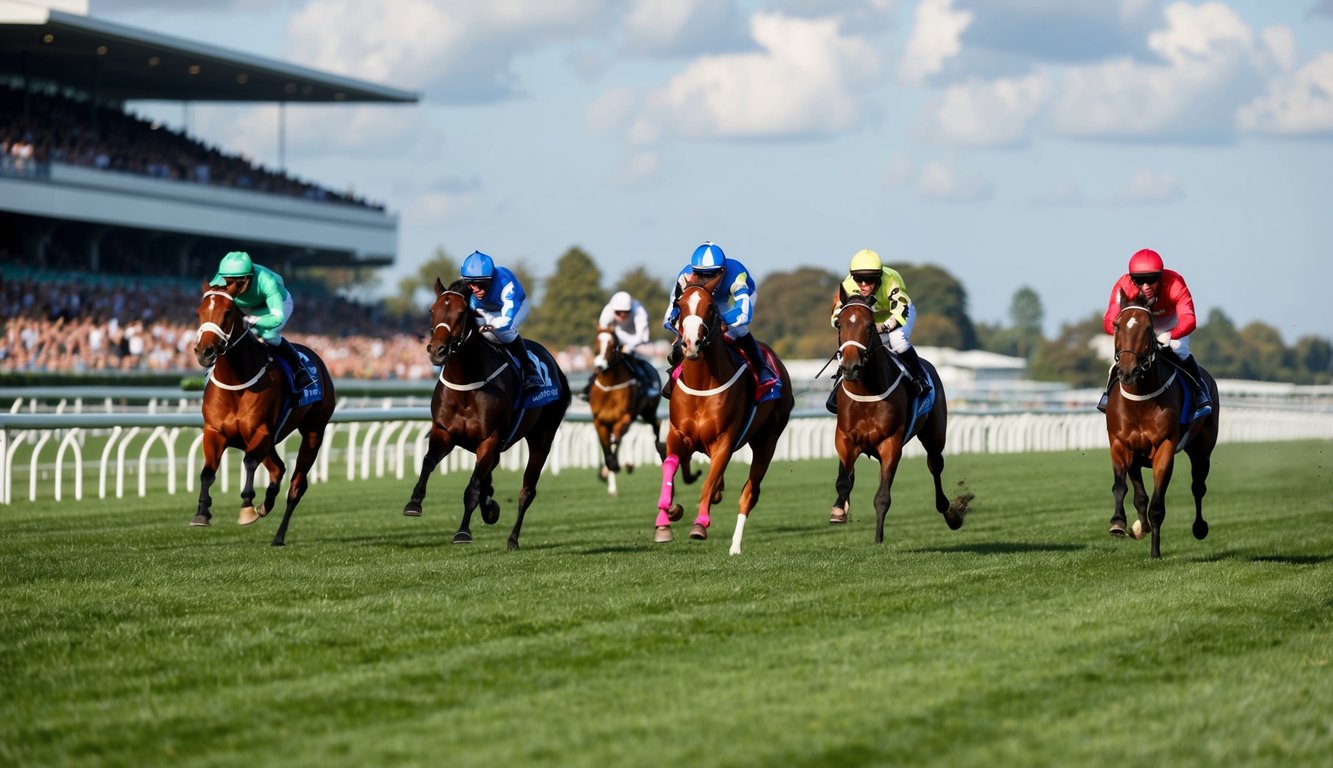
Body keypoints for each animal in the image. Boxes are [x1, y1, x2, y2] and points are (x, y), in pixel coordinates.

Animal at [190, 286, 335, 546]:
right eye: (199, 312)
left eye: (227, 313)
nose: (204, 352)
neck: (235, 382)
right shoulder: (214, 432)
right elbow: (207, 472)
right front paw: (202, 512)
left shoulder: (261, 431)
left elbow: (249, 462)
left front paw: (246, 507)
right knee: (278, 469)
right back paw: (265, 505)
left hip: (314, 431)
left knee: (297, 485)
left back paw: (278, 535)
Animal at [397, 278, 570, 549]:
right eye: (432, 310)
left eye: (461, 313)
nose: (437, 351)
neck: (466, 384)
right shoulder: (444, 432)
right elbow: (428, 462)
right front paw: (414, 502)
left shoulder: (489, 440)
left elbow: (472, 488)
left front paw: (463, 532)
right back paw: (490, 506)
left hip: (542, 438)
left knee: (527, 490)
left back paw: (512, 539)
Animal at [655, 278, 789, 554]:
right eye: (680, 305)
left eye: (710, 306)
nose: (690, 343)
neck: (701, 384)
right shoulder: (678, 436)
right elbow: (669, 466)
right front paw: (666, 517)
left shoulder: (723, 442)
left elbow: (708, 482)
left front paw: (700, 524)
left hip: (767, 440)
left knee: (749, 493)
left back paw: (735, 546)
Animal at [826, 290, 965, 544]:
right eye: (840, 324)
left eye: (870, 326)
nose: (850, 366)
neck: (867, 392)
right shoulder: (844, 438)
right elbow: (843, 479)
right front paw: (839, 510)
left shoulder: (891, 443)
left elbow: (882, 497)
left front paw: (878, 539)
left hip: (934, 436)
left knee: (935, 466)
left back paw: (949, 512)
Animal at [1103, 296, 1221, 557]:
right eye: (1116, 325)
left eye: (1148, 328)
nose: (1128, 371)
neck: (1140, 398)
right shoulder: (1120, 443)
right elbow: (1121, 488)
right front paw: (1119, 523)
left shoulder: (1165, 446)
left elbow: (1157, 505)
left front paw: (1155, 552)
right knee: (1140, 495)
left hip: (1202, 450)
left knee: (1198, 487)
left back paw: (1199, 527)